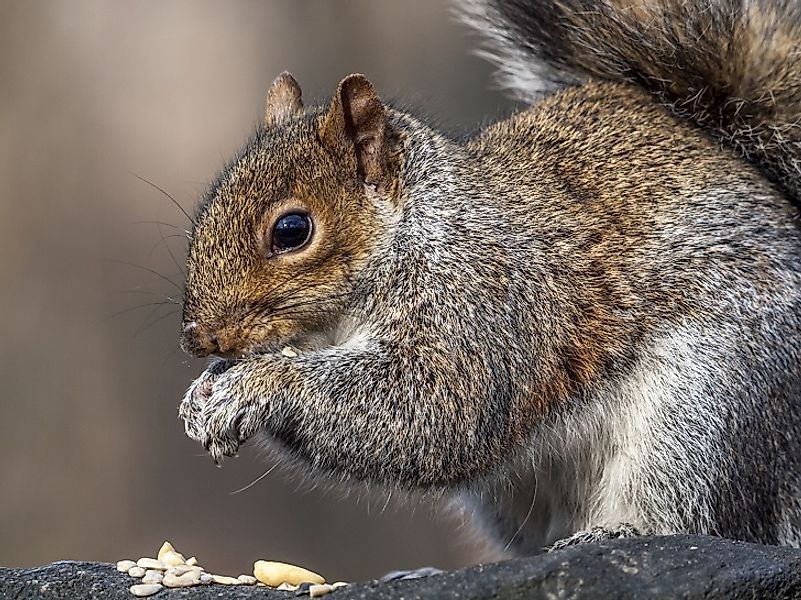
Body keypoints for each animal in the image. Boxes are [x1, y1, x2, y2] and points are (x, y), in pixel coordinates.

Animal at [178, 0, 800, 556]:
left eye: (292, 230)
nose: (197, 339)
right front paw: (204, 391)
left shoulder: (486, 308)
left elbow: (430, 413)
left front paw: (252, 386)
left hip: (709, 412)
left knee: (701, 516)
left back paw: (620, 533)